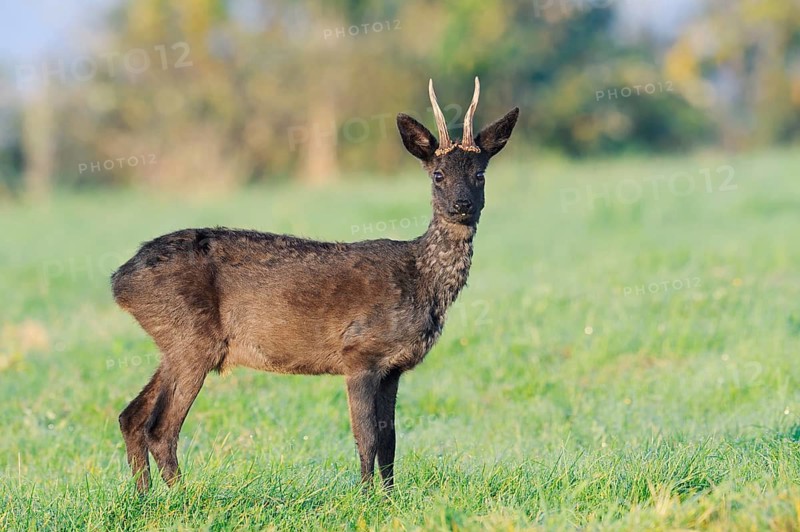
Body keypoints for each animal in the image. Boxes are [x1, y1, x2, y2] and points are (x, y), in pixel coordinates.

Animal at [111, 77, 519, 493]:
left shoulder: (394, 367)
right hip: (191, 338)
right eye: (438, 175)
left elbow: (390, 440)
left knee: (131, 416)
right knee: (160, 427)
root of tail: (119, 281)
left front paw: (390, 496)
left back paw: (145, 496)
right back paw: (183, 495)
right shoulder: (358, 352)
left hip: (175, 343)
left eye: (480, 174)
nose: (462, 205)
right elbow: (367, 436)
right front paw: (366, 495)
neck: (421, 280)